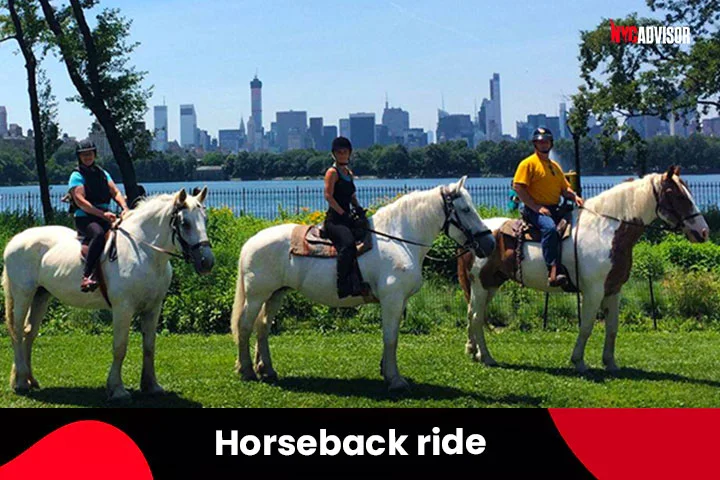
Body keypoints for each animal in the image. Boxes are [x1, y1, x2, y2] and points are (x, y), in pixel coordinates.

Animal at [2, 189, 214, 400]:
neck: (143, 251)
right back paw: (21, 383)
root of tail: (15, 240)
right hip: (23, 295)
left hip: (41, 295)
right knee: (17, 332)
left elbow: (149, 346)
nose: (207, 262)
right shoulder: (123, 308)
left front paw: (151, 385)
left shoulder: (153, 308)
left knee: (29, 334)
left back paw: (30, 379)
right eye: (185, 223)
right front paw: (117, 389)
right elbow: (120, 347)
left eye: (205, 218)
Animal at [233, 178, 498, 392]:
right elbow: (390, 338)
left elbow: (391, 336)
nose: (490, 243)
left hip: (275, 294)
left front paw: (386, 371)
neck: (399, 239)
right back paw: (246, 370)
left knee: (263, 327)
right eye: (465, 209)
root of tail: (250, 242)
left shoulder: (398, 302)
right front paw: (395, 380)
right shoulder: (392, 300)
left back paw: (266, 369)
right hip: (256, 296)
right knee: (245, 326)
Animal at [458, 167, 704, 374]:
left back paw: (473, 351)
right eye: (679, 196)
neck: (606, 229)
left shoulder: (613, 290)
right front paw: (579, 361)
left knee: (472, 314)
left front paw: (610, 363)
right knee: (477, 317)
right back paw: (487, 357)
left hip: (491, 285)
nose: (703, 231)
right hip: (481, 285)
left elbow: (612, 327)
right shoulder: (593, 291)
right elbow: (586, 326)